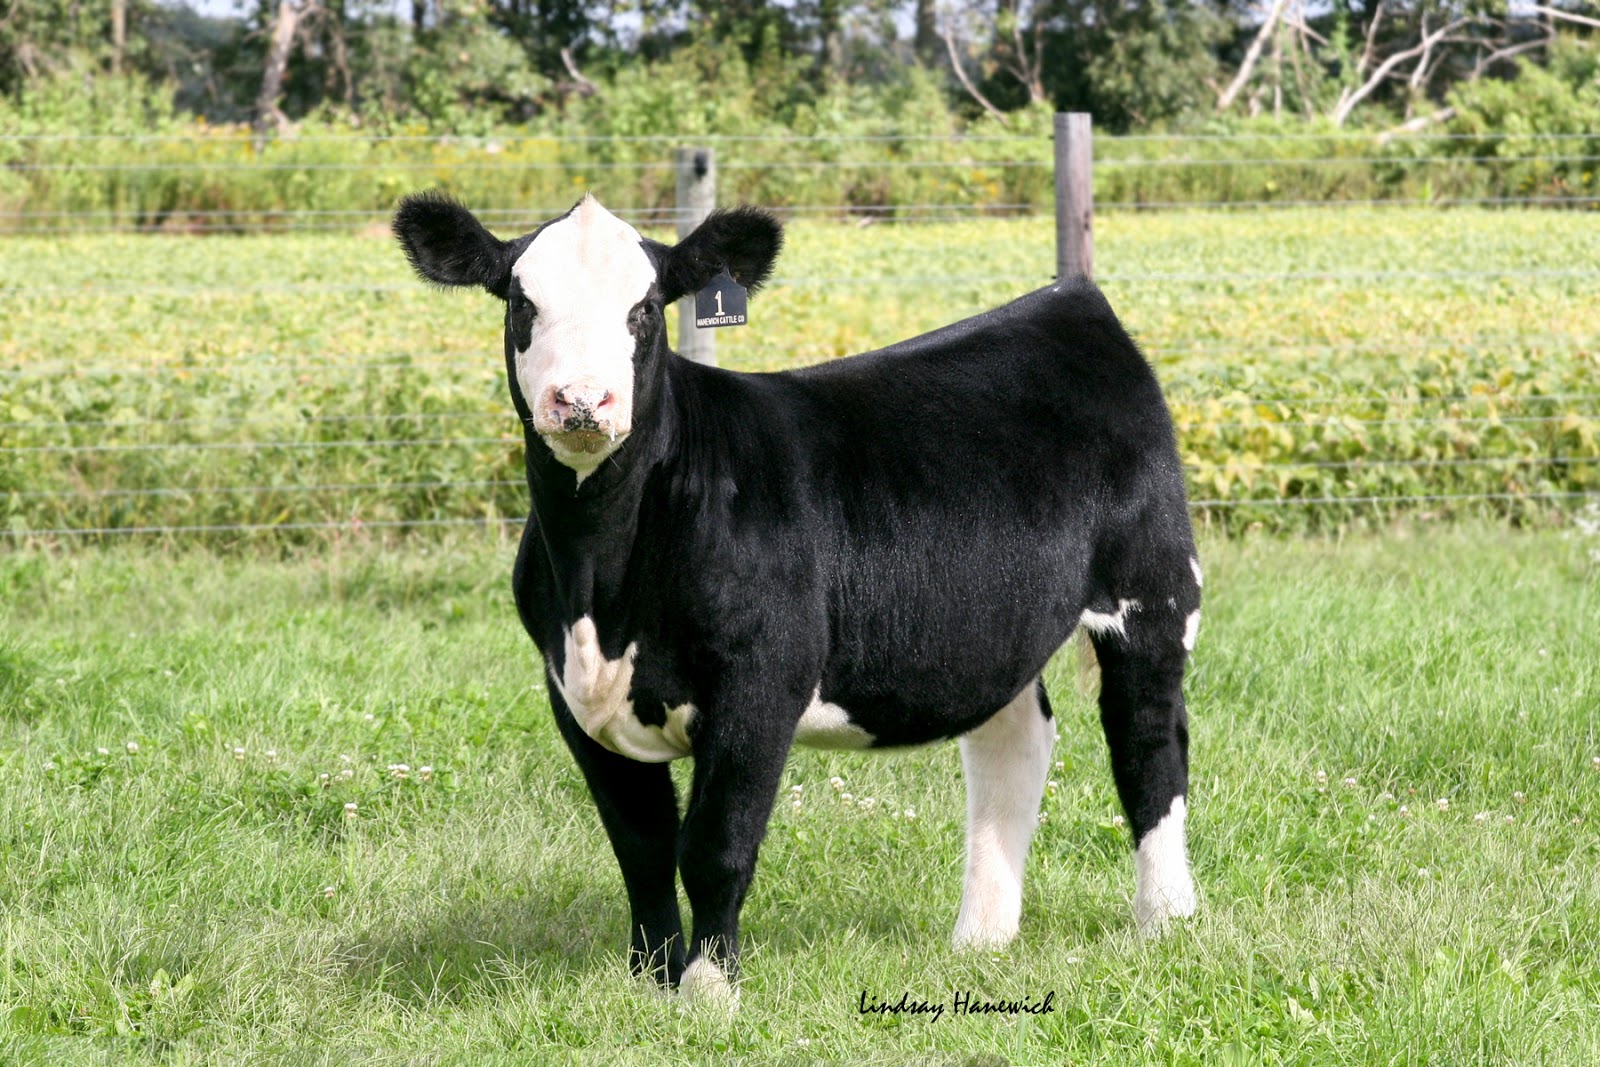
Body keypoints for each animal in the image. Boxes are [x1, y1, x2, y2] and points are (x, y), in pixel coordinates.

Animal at [393, 193, 1201, 1006]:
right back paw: (982, 939)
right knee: (1014, 742)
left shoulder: (762, 681)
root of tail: (1069, 301)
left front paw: (708, 993)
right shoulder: (574, 691)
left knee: (1149, 747)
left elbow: (714, 844)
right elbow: (640, 847)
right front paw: (651, 982)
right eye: (522, 302)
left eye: (645, 309)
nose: (584, 399)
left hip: (1154, 593)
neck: (602, 586)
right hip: (996, 626)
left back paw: (1166, 919)